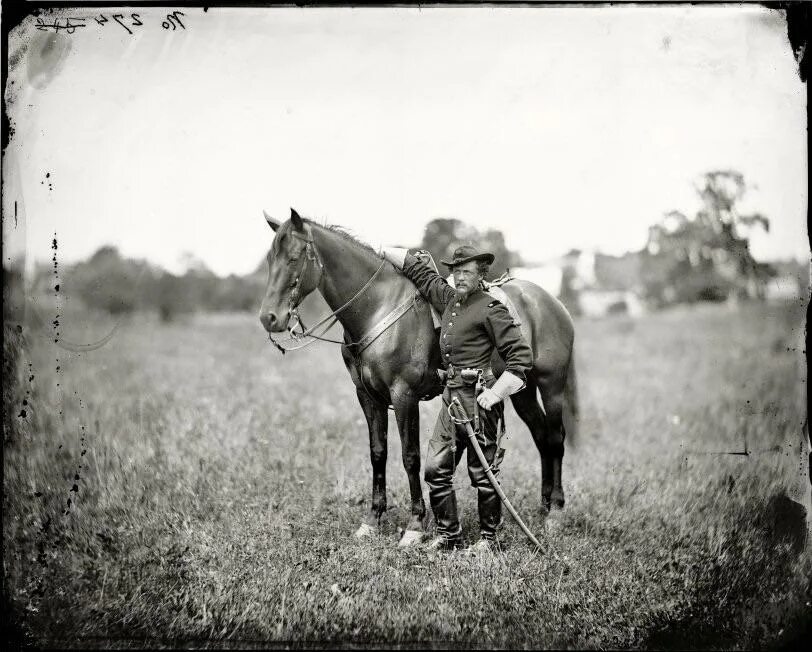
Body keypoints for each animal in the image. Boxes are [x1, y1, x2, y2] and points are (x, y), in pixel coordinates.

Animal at [260, 209, 576, 544]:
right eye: (270, 258)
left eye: (294, 257)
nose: (269, 317)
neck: (377, 307)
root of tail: (550, 301)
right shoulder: (367, 396)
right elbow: (378, 453)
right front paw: (373, 519)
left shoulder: (404, 395)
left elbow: (410, 456)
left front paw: (415, 524)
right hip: (521, 391)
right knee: (541, 436)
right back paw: (543, 506)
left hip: (551, 385)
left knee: (555, 437)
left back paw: (555, 512)